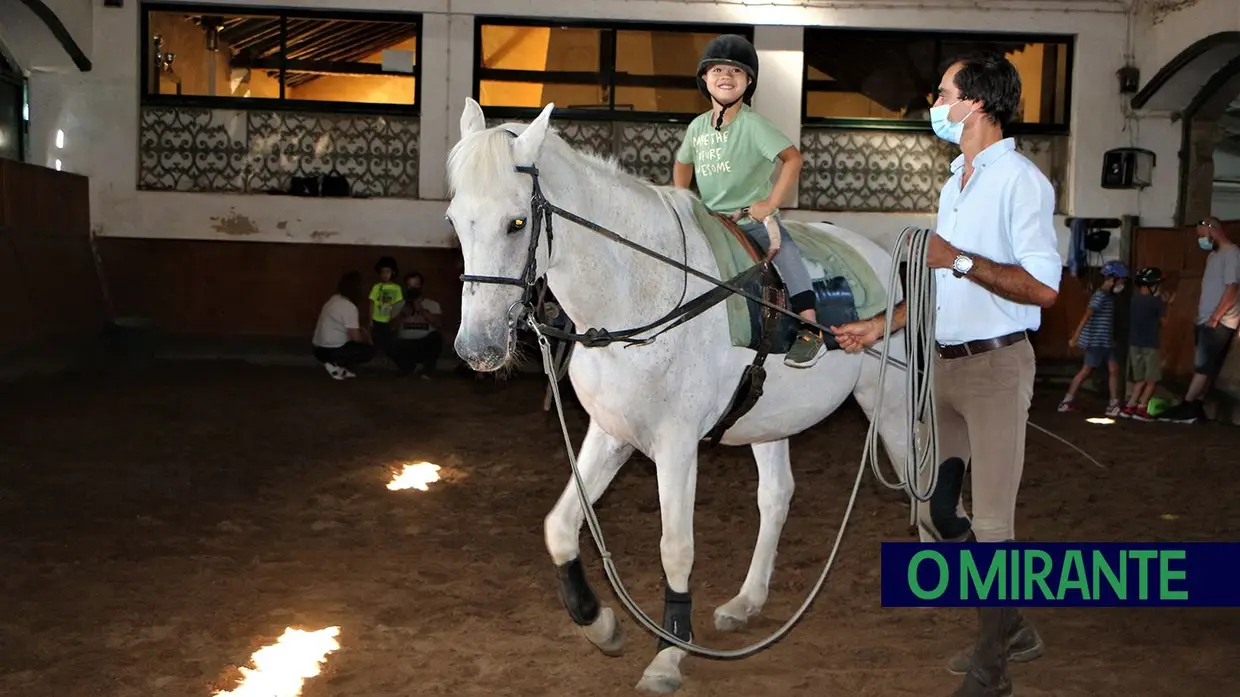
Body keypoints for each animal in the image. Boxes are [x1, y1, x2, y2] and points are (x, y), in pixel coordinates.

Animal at [451, 99, 917, 694]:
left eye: (516, 222)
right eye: (454, 220)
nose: (478, 347)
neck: (635, 299)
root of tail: (882, 257)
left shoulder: (676, 445)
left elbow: (676, 549)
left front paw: (669, 654)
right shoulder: (611, 432)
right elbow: (559, 527)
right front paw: (597, 621)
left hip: (891, 401)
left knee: (914, 478)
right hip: (772, 418)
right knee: (776, 497)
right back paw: (746, 602)